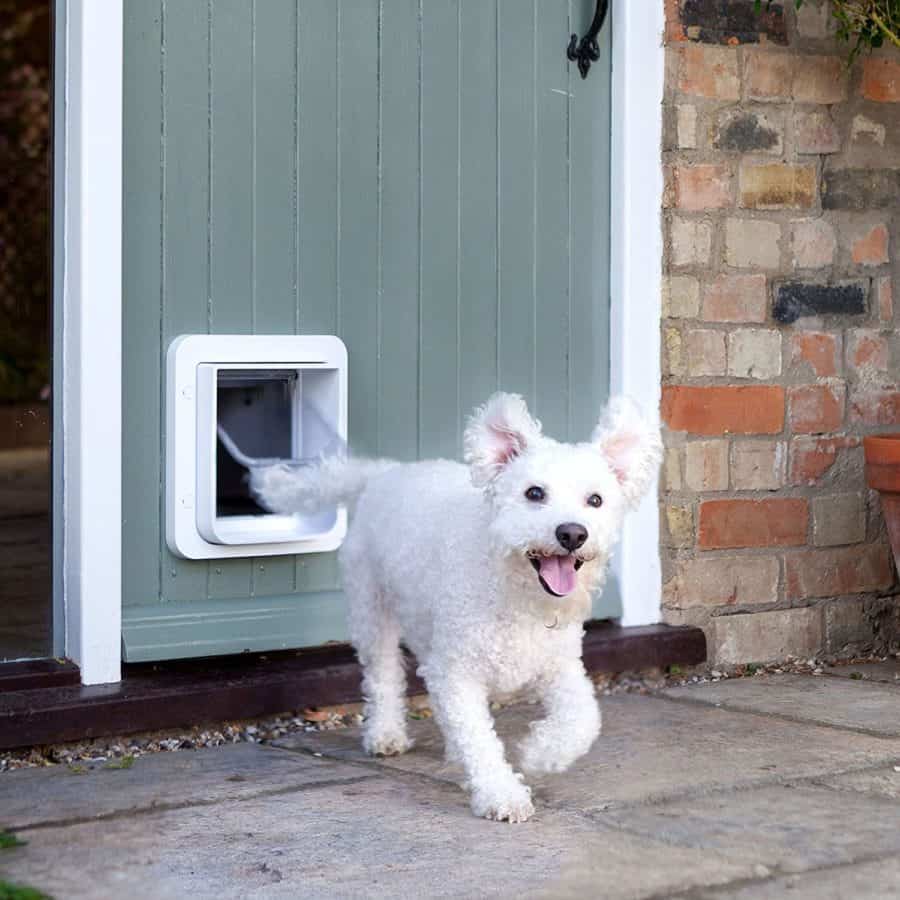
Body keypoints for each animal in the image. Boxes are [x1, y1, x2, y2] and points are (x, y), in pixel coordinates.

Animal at [253, 394, 660, 824]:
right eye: (534, 493)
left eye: (595, 500)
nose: (572, 533)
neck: (514, 592)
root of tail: (385, 473)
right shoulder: (458, 671)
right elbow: (479, 739)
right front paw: (502, 792)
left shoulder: (560, 666)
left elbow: (583, 719)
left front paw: (540, 753)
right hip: (372, 611)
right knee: (383, 676)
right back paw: (386, 733)